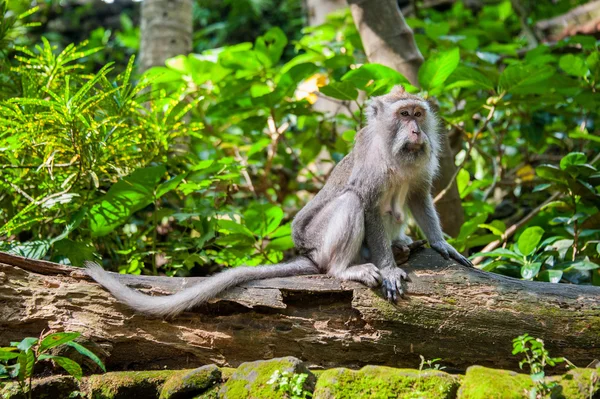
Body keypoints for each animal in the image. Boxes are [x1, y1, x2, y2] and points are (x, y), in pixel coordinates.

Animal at [86, 85, 474, 318]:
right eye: (403, 115)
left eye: (418, 114)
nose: (416, 131)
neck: (395, 152)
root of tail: (311, 255)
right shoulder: (372, 166)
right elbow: (366, 203)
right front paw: (390, 268)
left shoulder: (419, 167)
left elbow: (418, 195)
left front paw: (441, 245)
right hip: (320, 242)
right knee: (348, 204)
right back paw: (346, 268)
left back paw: (403, 243)